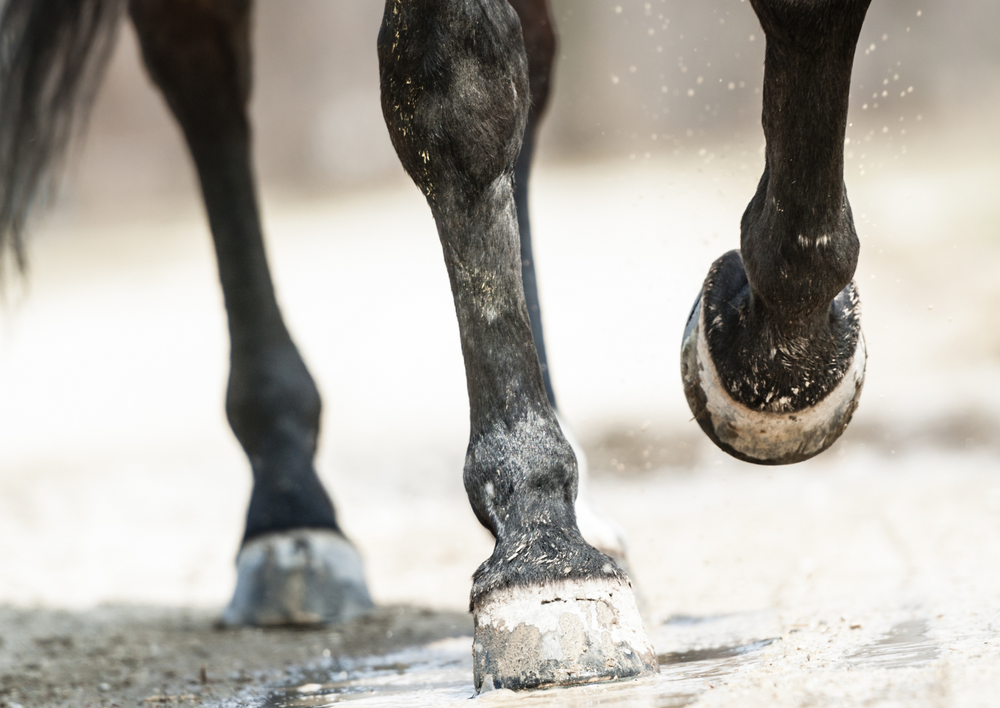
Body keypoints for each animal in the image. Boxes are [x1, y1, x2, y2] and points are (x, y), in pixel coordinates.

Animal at [0, 0, 871, 693]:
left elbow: (810, 15)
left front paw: (775, 364)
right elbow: (458, 85)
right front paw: (540, 546)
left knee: (536, 61)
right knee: (201, 66)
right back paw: (288, 507)